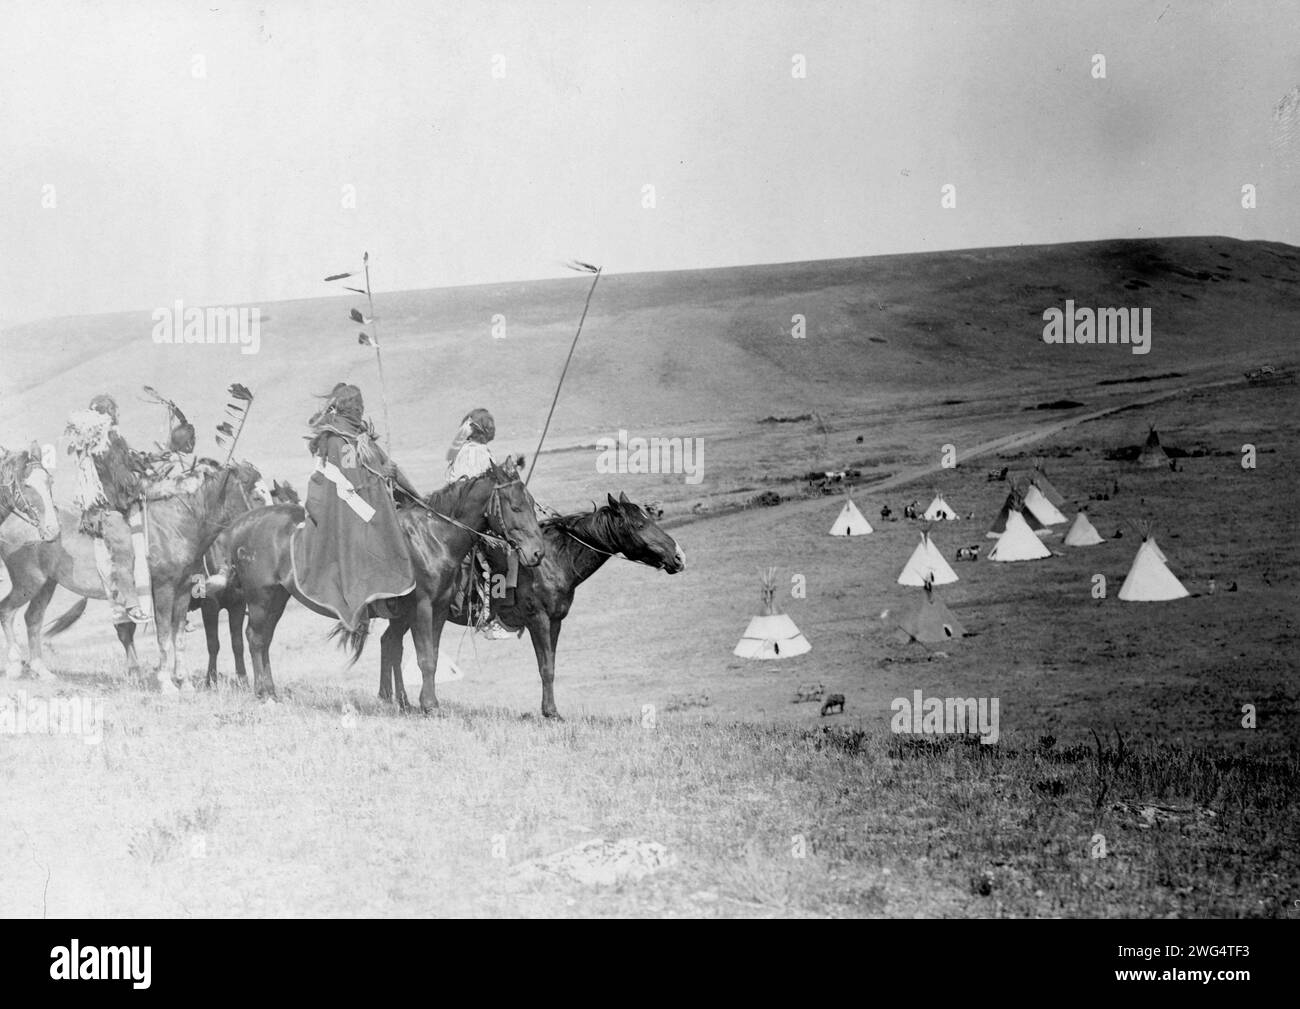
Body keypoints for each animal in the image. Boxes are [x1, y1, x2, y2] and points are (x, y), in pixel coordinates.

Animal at [1, 460, 266, 686]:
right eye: (255, 494)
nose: (264, 525)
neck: (175, 526)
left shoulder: (182, 593)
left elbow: (178, 636)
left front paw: (184, 682)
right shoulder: (165, 591)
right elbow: (164, 635)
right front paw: (167, 683)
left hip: (46, 584)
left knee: (33, 619)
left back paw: (41, 671)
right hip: (28, 583)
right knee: (7, 611)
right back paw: (14, 666)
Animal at [228, 457, 543, 707]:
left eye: (531, 504)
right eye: (515, 506)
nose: (536, 553)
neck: (433, 537)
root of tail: (242, 524)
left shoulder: (439, 609)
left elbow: (431, 654)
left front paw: (424, 702)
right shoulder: (421, 607)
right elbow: (425, 658)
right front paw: (429, 705)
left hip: (276, 599)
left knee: (264, 640)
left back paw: (270, 690)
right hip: (261, 599)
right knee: (255, 638)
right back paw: (263, 693)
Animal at [351, 491, 686, 722]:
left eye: (651, 518)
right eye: (640, 523)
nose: (679, 556)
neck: (554, 559)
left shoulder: (556, 621)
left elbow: (551, 665)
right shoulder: (539, 619)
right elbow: (546, 667)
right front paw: (551, 713)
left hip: (406, 615)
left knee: (390, 644)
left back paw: (399, 701)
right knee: (393, 645)